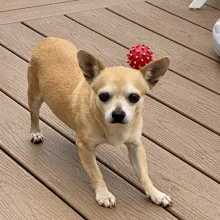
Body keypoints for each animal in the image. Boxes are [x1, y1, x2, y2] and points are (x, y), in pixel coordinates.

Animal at [27, 37, 171, 208]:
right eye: (103, 96)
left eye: (134, 97)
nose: (118, 114)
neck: (115, 128)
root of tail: (47, 39)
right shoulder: (86, 149)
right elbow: (96, 174)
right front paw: (104, 194)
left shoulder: (135, 146)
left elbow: (143, 173)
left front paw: (155, 193)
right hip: (35, 97)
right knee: (34, 115)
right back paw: (35, 133)